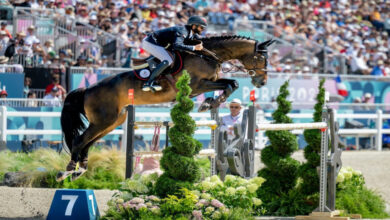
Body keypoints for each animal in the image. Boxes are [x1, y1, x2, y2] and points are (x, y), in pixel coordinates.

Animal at [57, 35, 274, 180]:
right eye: (261, 59)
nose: (262, 82)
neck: (207, 56)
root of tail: (87, 89)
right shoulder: (197, 85)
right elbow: (230, 84)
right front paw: (209, 103)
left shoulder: (209, 82)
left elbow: (231, 84)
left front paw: (211, 103)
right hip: (104, 120)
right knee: (79, 140)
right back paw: (67, 170)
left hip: (112, 121)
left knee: (88, 142)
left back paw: (80, 170)